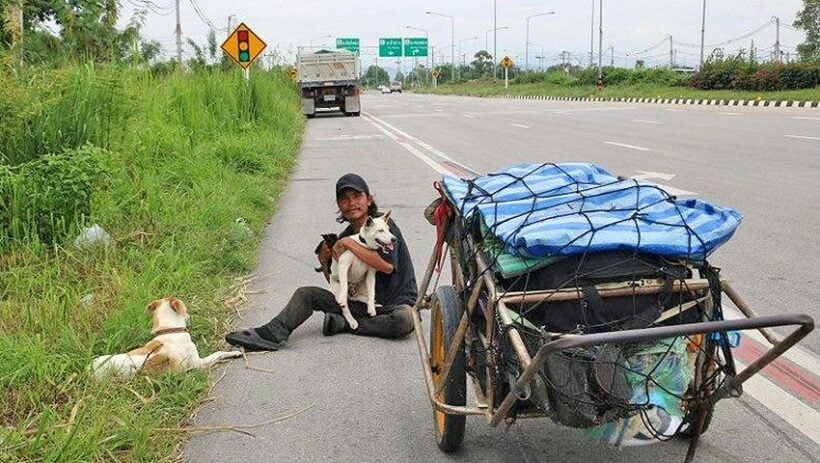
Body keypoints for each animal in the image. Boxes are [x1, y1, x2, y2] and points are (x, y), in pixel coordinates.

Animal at [92, 300, 242, 378]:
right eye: (186, 309)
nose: (191, 317)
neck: (170, 330)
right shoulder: (197, 362)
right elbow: (218, 353)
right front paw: (234, 352)